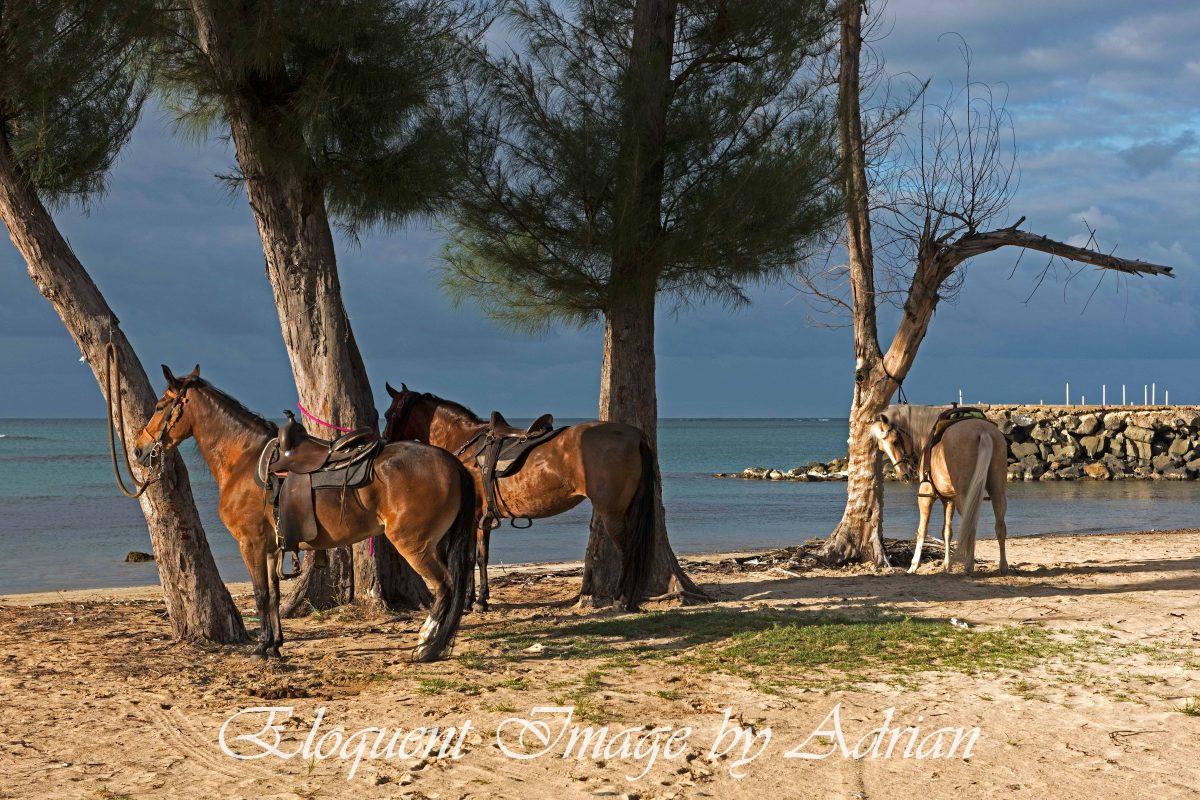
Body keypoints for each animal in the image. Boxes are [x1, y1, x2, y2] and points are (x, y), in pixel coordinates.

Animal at [131, 365, 476, 661]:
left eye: (161, 406)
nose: (138, 449)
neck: (244, 460)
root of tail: (451, 462)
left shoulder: (251, 544)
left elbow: (260, 594)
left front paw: (260, 648)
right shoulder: (272, 547)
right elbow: (272, 595)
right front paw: (274, 645)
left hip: (413, 543)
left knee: (444, 587)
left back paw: (426, 645)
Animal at [380, 383, 656, 612]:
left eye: (389, 413)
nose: (384, 443)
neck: (467, 446)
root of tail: (634, 435)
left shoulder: (475, 517)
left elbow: (472, 558)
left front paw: (473, 601)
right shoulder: (484, 517)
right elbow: (480, 557)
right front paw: (477, 599)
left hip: (612, 513)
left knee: (626, 550)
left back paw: (621, 599)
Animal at [869, 405, 1009, 575]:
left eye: (895, 441)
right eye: (882, 448)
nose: (903, 474)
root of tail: (983, 431)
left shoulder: (926, 495)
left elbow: (922, 530)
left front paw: (914, 565)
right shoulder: (949, 499)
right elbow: (947, 531)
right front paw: (946, 565)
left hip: (965, 496)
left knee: (971, 525)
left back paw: (969, 566)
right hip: (997, 491)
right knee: (1000, 526)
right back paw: (1003, 566)